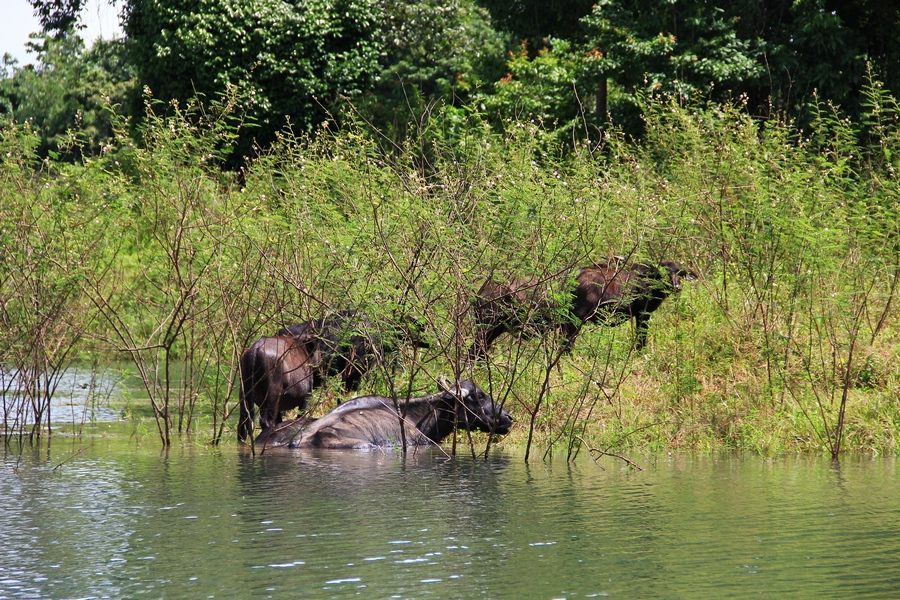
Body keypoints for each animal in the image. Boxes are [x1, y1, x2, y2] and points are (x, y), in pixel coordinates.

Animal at [472, 258, 696, 356]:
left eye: (680, 273)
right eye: (664, 271)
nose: (677, 286)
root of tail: (481, 292)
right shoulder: (642, 315)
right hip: (486, 330)